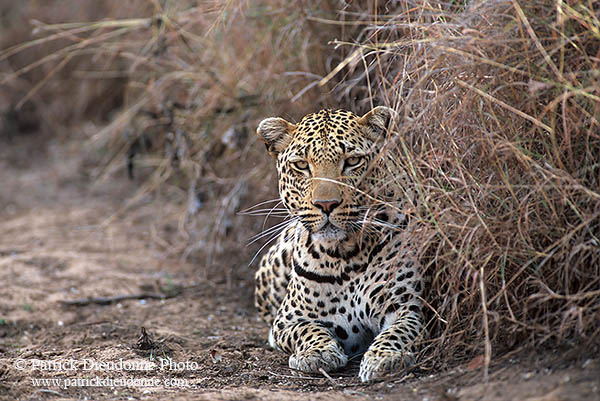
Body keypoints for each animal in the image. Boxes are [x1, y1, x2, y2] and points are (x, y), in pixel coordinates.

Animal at [253, 106, 426, 382]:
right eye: (301, 165)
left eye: (353, 162)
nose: (326, 204)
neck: (346, 255)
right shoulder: (287, 321)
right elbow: (307, 331)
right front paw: (317, 353)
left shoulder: (408, 306)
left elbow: (399, 331)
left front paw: (385, 358)